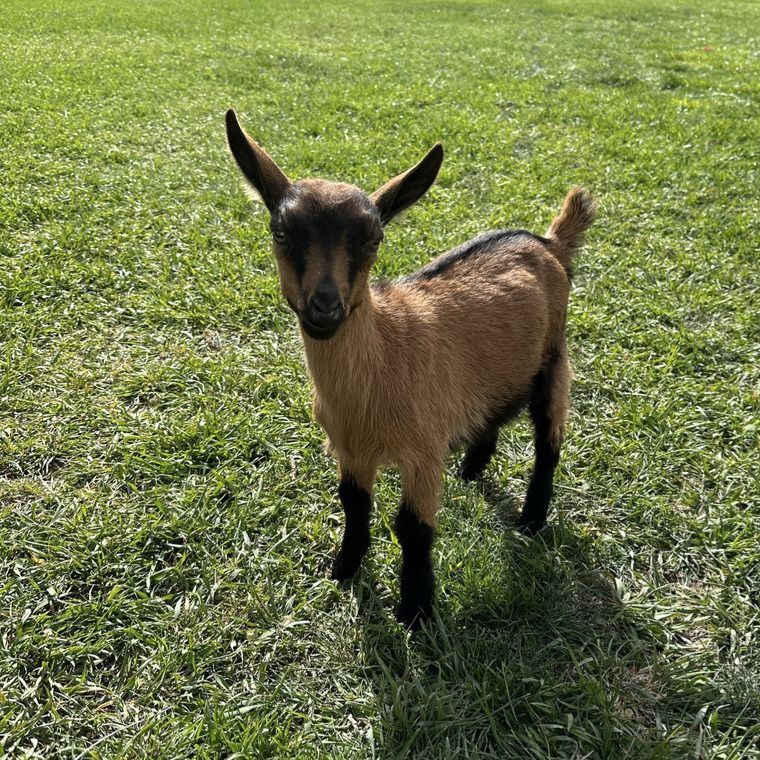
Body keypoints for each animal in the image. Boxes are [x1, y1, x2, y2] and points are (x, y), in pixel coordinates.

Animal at [225, 109, 596, 628]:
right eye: (281, 233)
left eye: (374, 238)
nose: (325, 307)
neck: (383, 361)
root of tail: (549, 242)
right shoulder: (349, 448)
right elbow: (354, 505)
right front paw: (344, 569)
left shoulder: (422, 451)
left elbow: (413, 528)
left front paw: (416, 611)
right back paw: (472, 469)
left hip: (554, 358)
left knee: (550, 438)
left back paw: (531, 519)